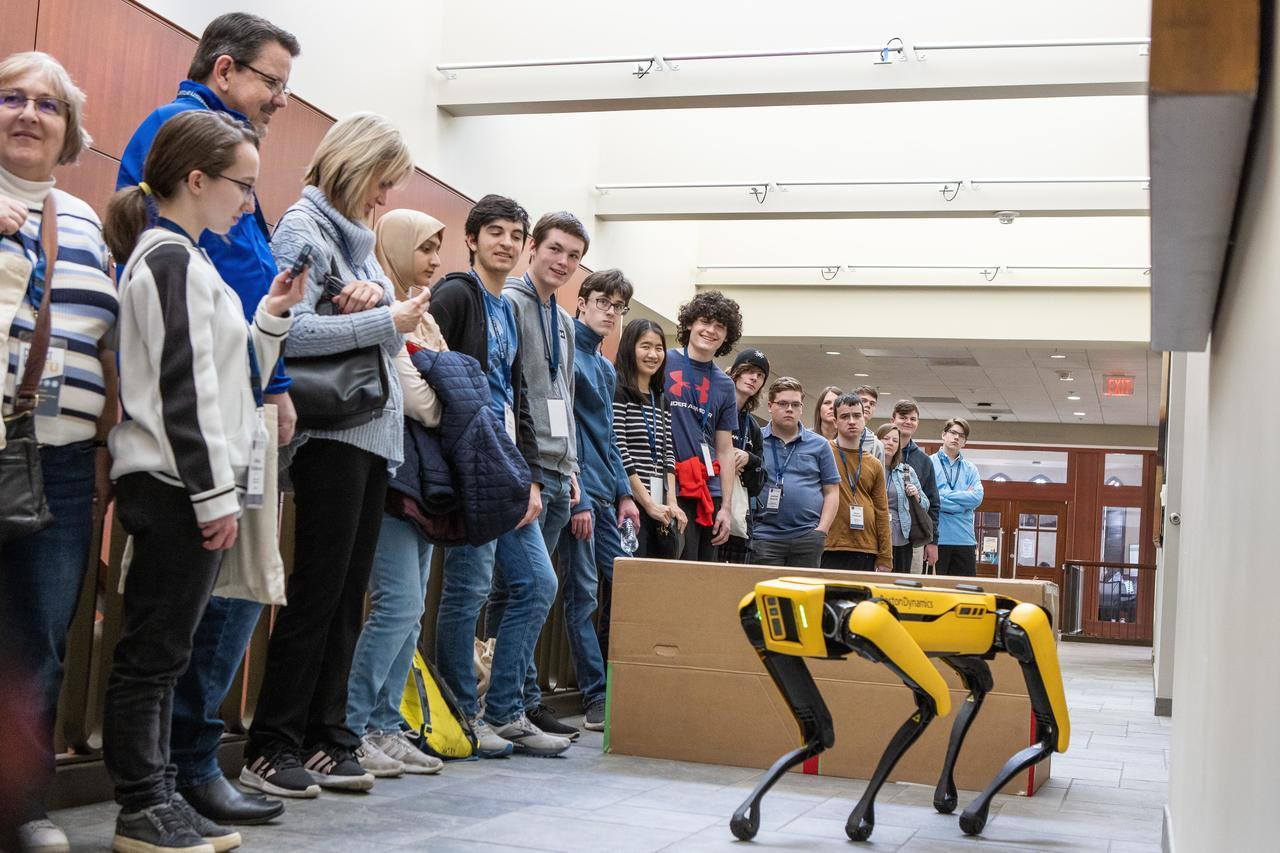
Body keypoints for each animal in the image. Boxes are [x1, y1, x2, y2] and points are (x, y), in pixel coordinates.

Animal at [732, 573, 1070, 840]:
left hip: (1015, 629)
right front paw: (747, 815)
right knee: (980, 684)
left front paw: (860, 819)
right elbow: (820, 733)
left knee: (1050, 730)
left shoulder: (869, 621)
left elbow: (932, 702)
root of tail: (1006, 604)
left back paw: (973, 808)